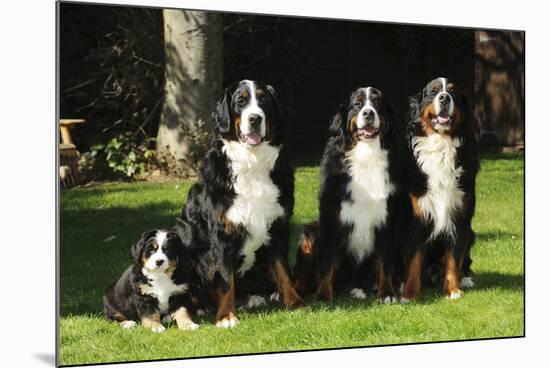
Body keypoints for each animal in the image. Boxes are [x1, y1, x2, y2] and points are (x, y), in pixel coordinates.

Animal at [177, 79, 304, 330]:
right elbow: (226, 280)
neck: (252, 163)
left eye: (263, 100)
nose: (255, 118)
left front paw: (294, 302)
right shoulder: (222, 233)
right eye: (241, 101)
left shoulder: (278, 226)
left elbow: (283, 270)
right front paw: (226, 316)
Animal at [312, 87, 404, 304]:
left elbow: (385, 262)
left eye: (377, 103)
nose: (368, 113)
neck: (366, 155)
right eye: (357, 104)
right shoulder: (332, 221)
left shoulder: (387, 221)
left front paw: (387, 292)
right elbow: (327, 263)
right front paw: (322, 295)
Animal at [402, 77, 484, 302]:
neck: (441, 146)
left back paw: (465, 278)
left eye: (453, 92)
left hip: (471, 233)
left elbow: (454, 259)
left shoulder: (460, 217)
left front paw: (452, 289)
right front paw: (409, 293)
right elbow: (414, 259)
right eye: (433, 91)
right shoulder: (417, 217)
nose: (445, 98)